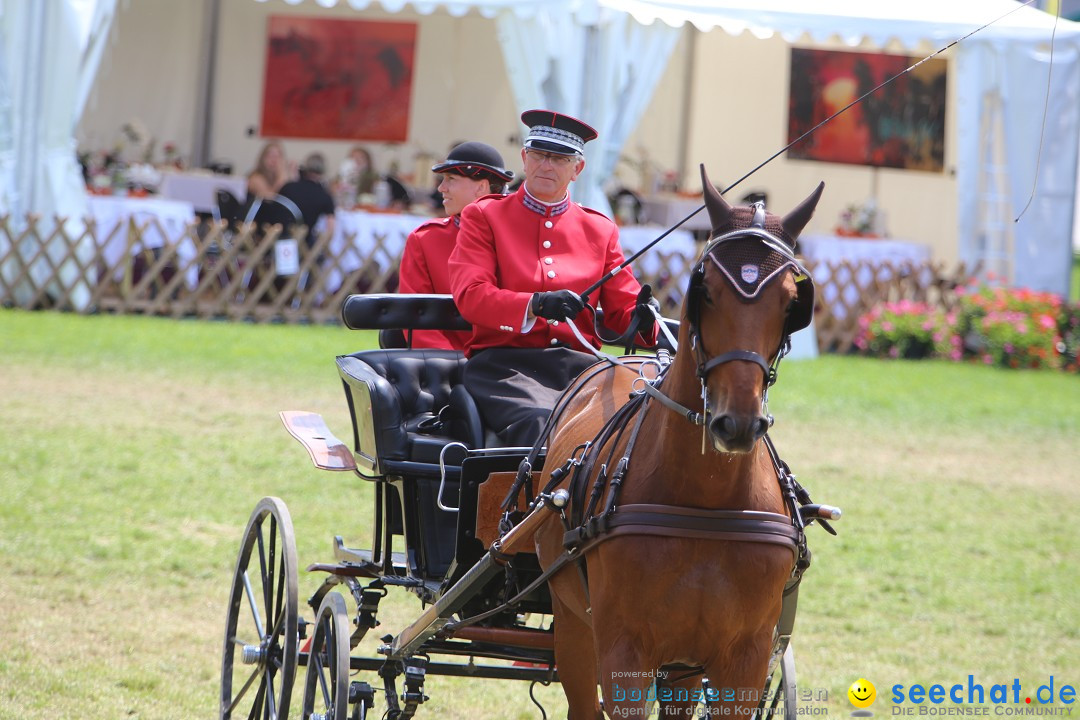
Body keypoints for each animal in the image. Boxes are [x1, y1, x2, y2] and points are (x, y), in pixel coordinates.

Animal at [533, 166, 825, 716]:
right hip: (574, 625)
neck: (705, 501)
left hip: (683, 668)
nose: (736, 422)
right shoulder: (622, 653)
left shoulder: (744, 661)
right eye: (705, 289)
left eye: (791, 302)